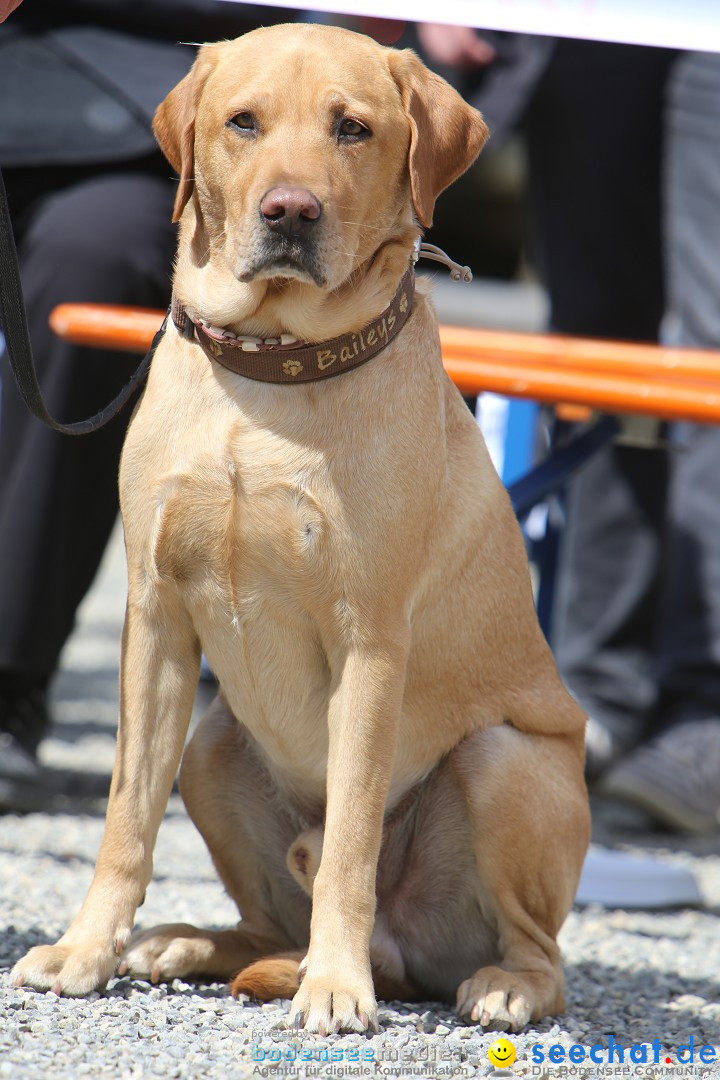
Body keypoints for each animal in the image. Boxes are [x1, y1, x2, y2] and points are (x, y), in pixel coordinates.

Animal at [11, 23, 587, 1036]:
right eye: (243, 122)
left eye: (352, 128)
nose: (290, 210)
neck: (272, 372)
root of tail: (406, 955)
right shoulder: (154, 618)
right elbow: (125, 817)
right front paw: (86, 952)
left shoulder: (370, 644)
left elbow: (351, 839)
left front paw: (335, 986)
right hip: (210, 745)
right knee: (260, 919)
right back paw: (183, 943)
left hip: (504, 761)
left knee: (537, 948)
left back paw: (496, 986)